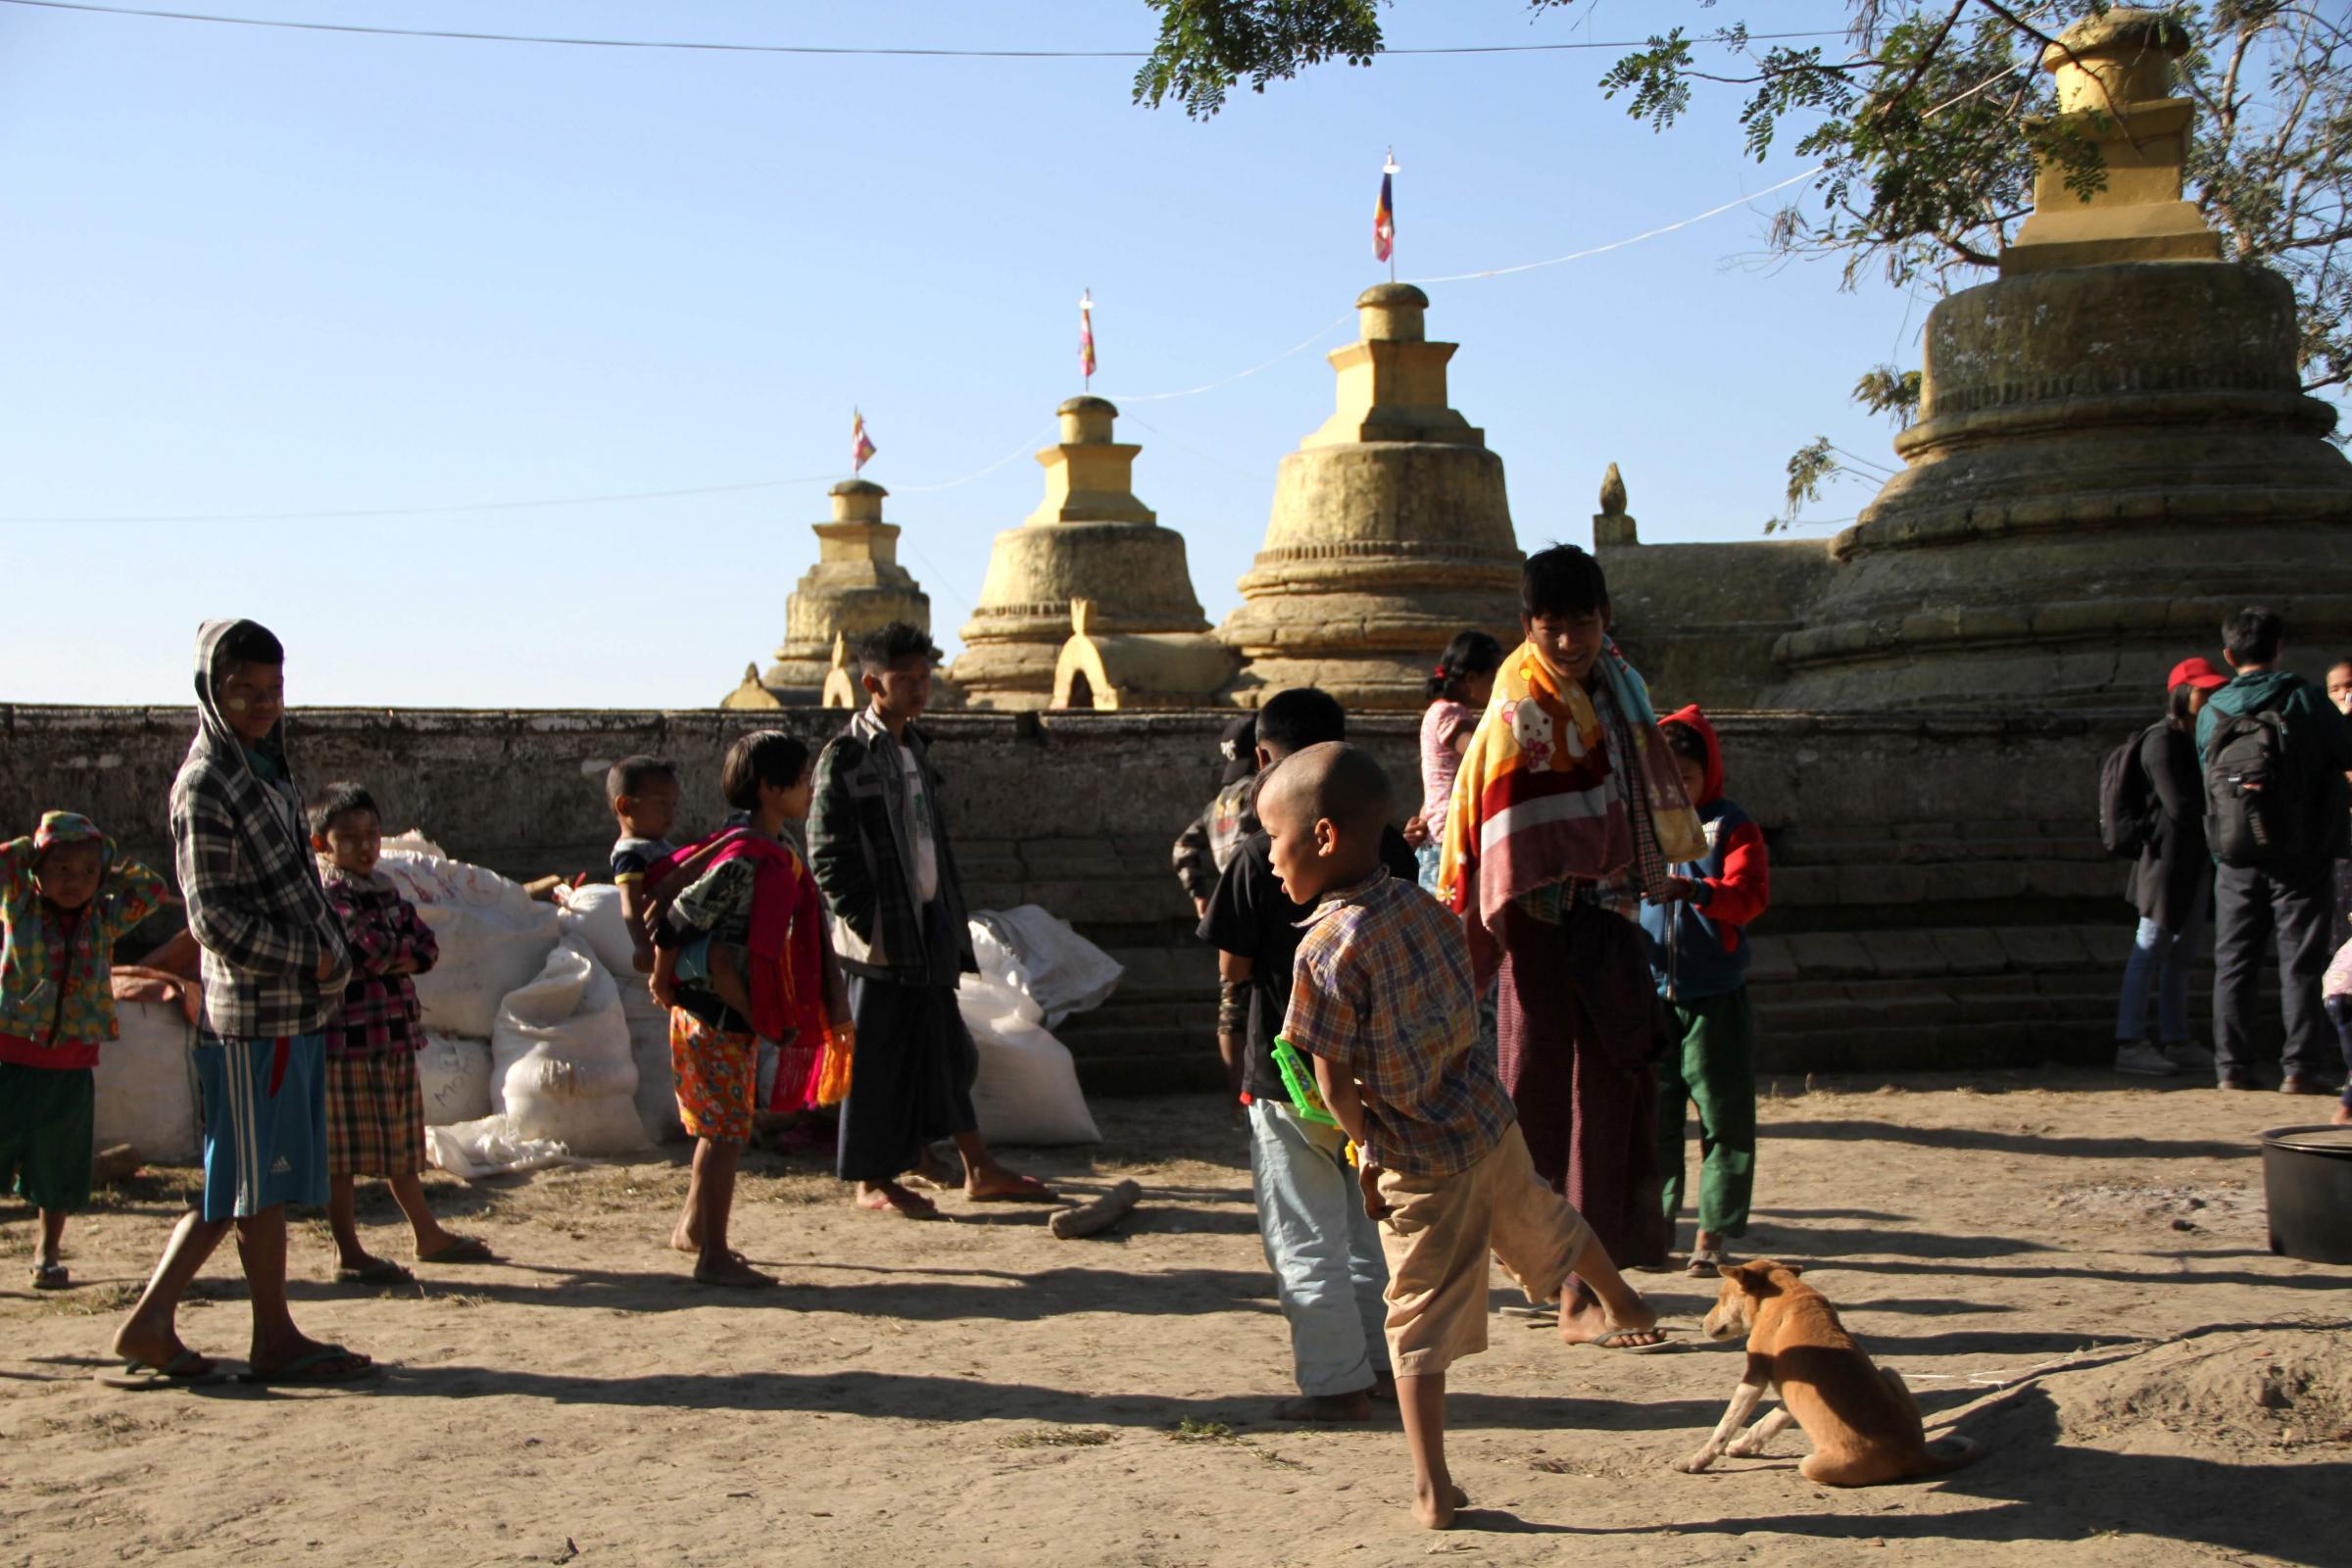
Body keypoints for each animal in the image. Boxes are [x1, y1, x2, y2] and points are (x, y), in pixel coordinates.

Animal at [1674, 1259, 1984, 1486]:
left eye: (1721, 1297)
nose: (1701, 1324)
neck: (1786, 1294)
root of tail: (1917, 1455)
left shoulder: (1755, 1376)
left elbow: (1725, 1426)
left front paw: (1696, 1461)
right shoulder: (1793, 1390)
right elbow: (1769, 1421)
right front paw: (1742, 1446)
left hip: (1811, 1465)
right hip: (1890, 1371)